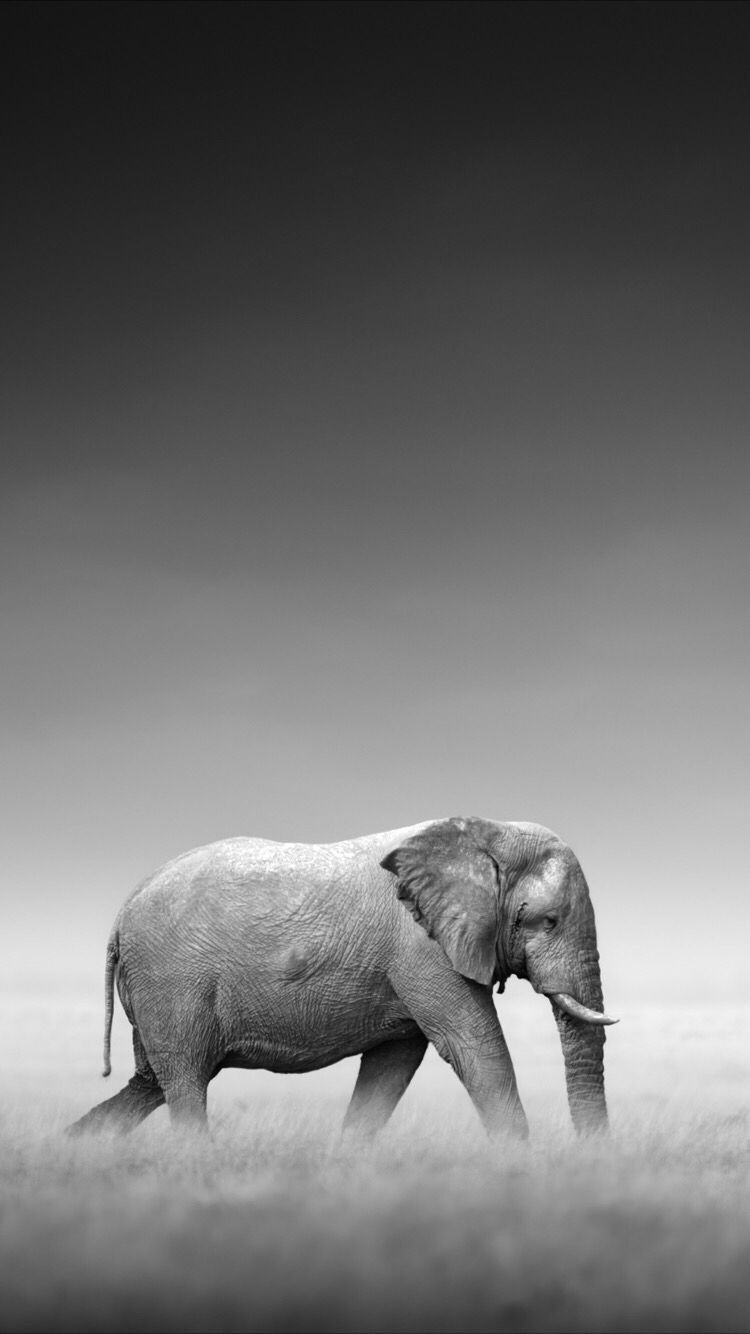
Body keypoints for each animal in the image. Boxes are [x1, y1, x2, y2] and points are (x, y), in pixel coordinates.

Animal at [69, 816, 616, 1140]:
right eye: (547, 921)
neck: (487, 833)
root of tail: (122, 913)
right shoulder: (422, 950)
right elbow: (476, 1048)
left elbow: (391, 1067)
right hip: (171, 981)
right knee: (183, 1082)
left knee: (150, 1082)